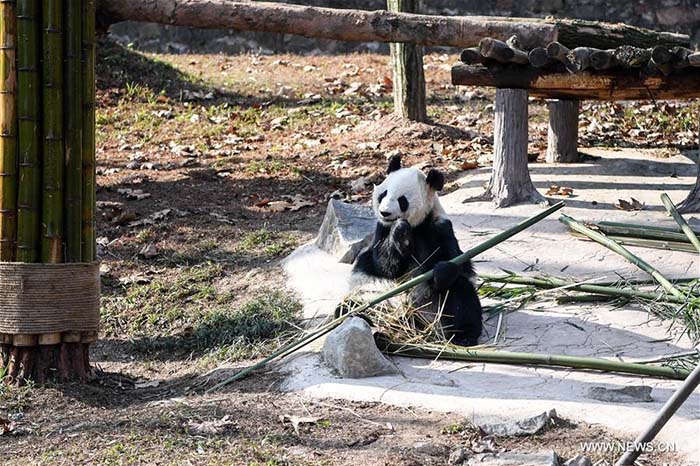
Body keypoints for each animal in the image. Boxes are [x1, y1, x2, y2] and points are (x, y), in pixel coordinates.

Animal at [344, 156, 482, 346]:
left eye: (402, 200)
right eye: (383, 194)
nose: (384, 212)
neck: (416, 226)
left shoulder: (440, 227)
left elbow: (455, 261)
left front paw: (441, 270)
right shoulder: (381, 231)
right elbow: (383, 265)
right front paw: (401, 232)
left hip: (432, 307)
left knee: (462, 294)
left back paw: (465, 336)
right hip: (372, 297)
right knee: (347, 307)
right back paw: (375, 329)